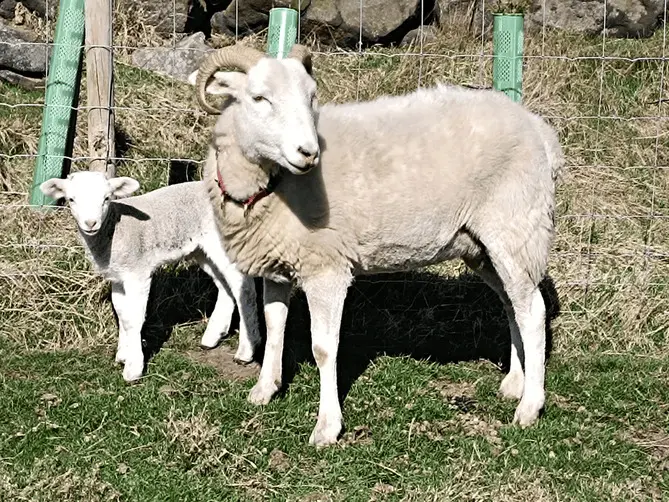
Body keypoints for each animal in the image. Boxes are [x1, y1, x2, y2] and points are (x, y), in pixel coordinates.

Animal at [39, 171, 261, 383]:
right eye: (71, 199)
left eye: (106, 198)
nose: (90, 223)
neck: (113, 230)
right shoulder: (118, 276)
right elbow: (122, 315)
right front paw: (123, 354)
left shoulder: (137, 273)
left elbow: (134, 318)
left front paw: (133, 368)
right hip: (202, 250)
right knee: (225, 286)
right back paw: (213, 337)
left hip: (226, 243)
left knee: (244, 288)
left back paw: (246, 350)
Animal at [188, 43, 564, 446]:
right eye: (259, 98)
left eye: (311, 97)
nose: (308, 152)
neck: (271, 186)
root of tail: (539, 128)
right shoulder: (278, 264)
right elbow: (275, 327)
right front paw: (264, 389)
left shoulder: (326, 268)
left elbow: (324, 348)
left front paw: (327, 426)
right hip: (481, 246)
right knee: (513, 304)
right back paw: (515, 383)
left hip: (515, 227)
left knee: (533, 311)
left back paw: (529, 406)